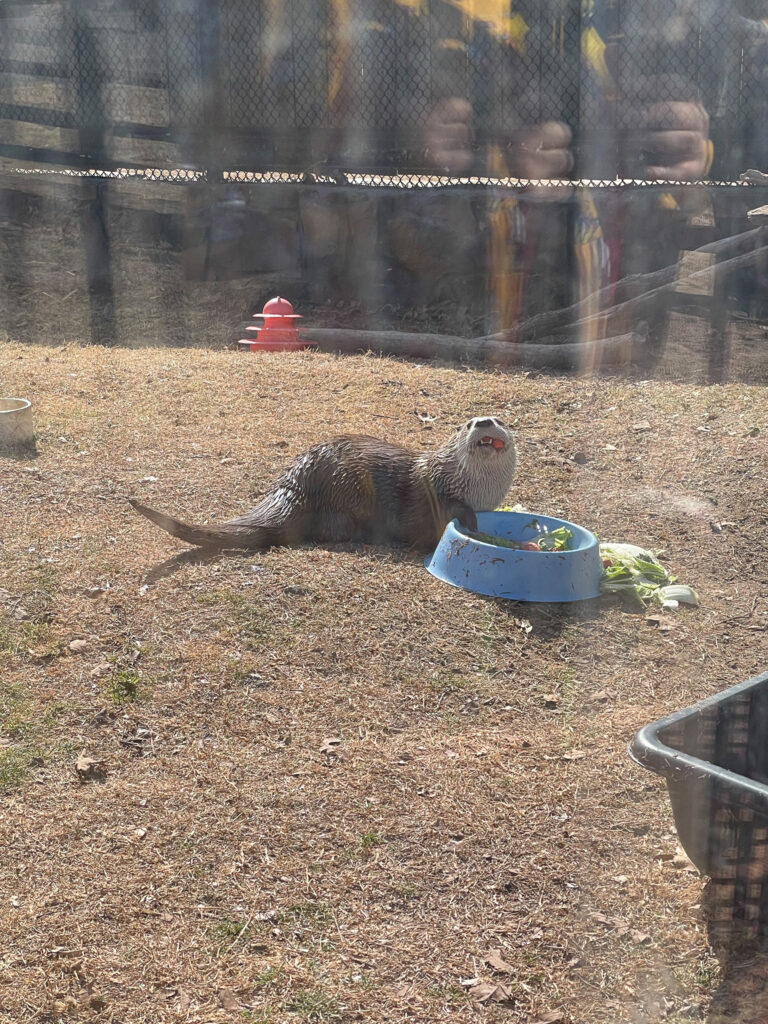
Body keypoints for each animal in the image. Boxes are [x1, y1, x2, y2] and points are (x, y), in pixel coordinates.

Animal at [128, 416, 516, 552]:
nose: (483, 421)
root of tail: (294, 484)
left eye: (498, 419)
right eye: (466, 425)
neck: (473, 488)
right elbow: (447, 512)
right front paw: (468, 521)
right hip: (350, 488)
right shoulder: (436, 491)